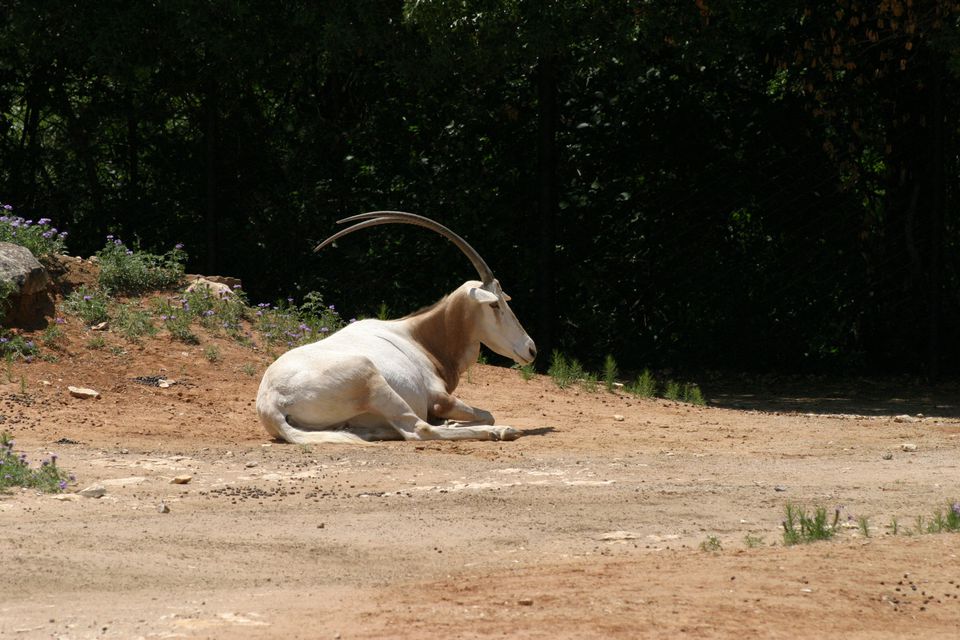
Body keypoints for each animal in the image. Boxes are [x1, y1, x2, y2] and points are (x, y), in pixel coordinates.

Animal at [255, 212, 536, 442]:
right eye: (495, 305)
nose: (531, 349)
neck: (419, 337)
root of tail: (272, 402)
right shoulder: (439, 398)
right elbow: (487, 413)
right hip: (371, 378)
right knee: (419, 429)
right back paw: (502, 431)